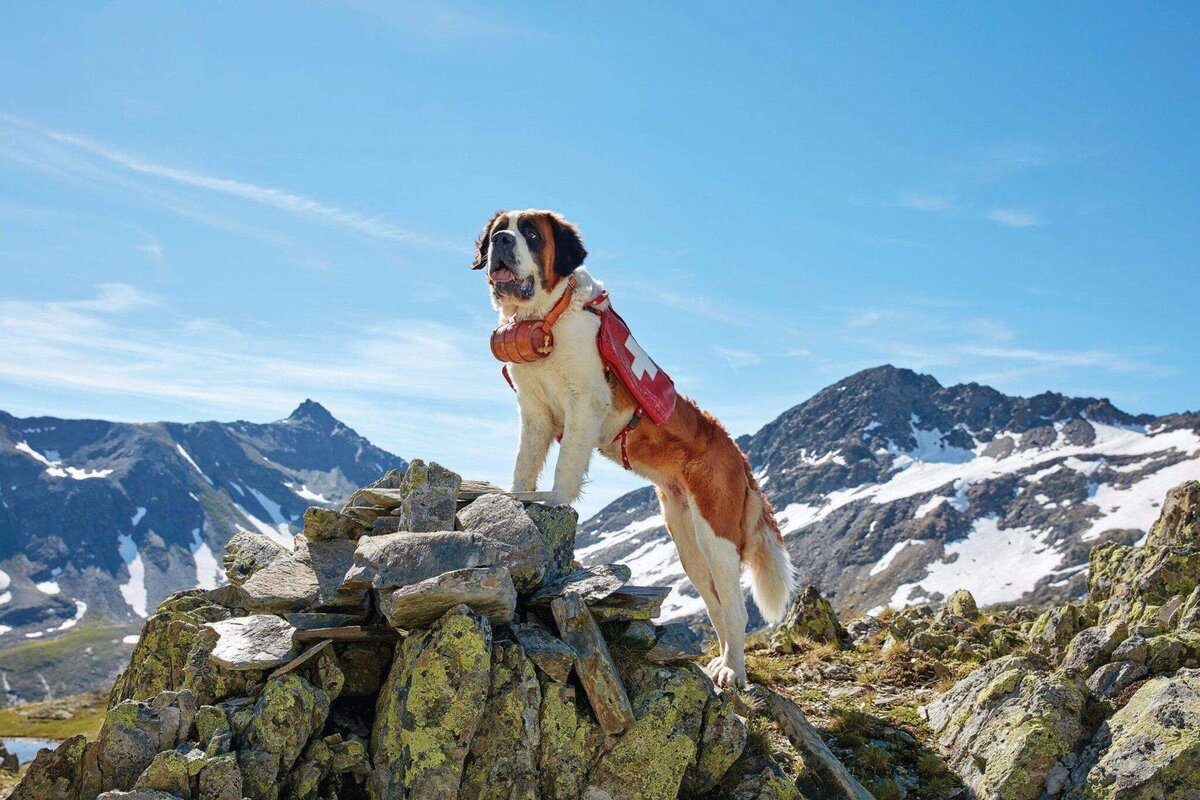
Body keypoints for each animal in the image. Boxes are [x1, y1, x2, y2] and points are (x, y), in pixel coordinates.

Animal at [470, 208, 796, 690]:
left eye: (530, 233)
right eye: (499, 231)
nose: (502, 242)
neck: (546, 315)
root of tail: (737, 455)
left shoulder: (586, 400)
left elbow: (565, 467)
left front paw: (552, 501)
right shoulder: (534, 411)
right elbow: (525, 462)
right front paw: (516, 496)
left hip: (716, 534)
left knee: (735, 609)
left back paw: (732, 672)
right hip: (686, 540)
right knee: (717, 606)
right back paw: (719, 661)